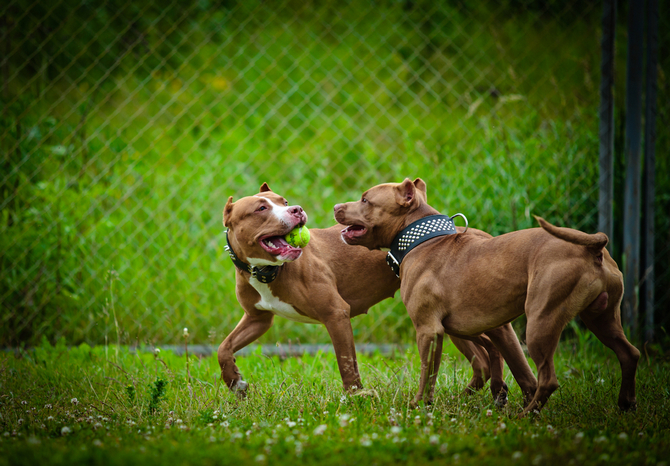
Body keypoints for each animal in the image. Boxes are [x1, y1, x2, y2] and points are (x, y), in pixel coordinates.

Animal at [220, 182, 520, 400]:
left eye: (283, 202)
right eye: (261, 208)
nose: (296, 209)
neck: (266, 271)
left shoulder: (335, 314)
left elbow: (346, 361)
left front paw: (356, 396)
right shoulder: (257, 319)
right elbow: (224, 348)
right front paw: (235, 382)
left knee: (486, 352)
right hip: (459, 323)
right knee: (483, 356)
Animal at [336, 177, 640, 416]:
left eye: (365, 199)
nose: (337, 207)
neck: (423, 240)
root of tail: (593, 247)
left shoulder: (429, 330)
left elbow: (427, 374)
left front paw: (418, 407)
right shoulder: (493, 328)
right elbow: (517, 370)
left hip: (541, 321)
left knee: (549, 379)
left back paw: (525, 417)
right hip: (602, 319)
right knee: (629, 354)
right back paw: (625, 405)